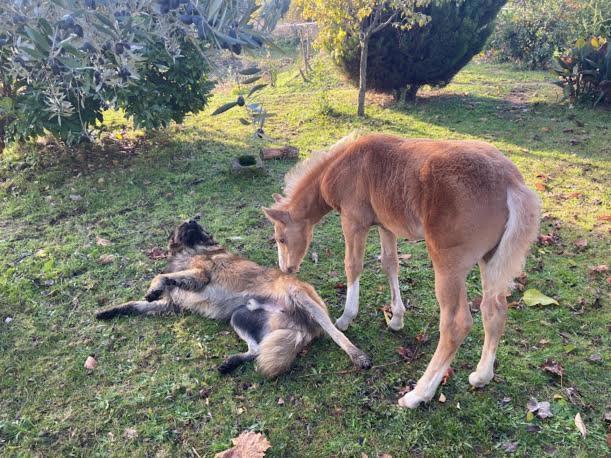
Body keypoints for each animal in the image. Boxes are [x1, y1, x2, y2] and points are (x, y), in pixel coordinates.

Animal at [98, 220, 370, 378]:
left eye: (196, 224)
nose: (193, 218)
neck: (190, 249)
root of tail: (300, 330)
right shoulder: (171, 305)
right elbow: (135, 304)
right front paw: (110, 311)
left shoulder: (200, 275)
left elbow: (162, 276)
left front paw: (154, 286)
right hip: (239, 316)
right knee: (256, 350)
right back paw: (231, 363)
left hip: (301, 297)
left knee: (337, 334)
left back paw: (358, 355)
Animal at [262, 132, 540, 408]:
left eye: (281, 239)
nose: (286, 268)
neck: (341, 165)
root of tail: (510, 181)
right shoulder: (385, 224)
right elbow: (390, 263)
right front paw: (396, 318)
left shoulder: (354, 221)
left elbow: (352, 264)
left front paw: (345, 318)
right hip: (490, 260)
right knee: (494, 310)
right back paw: (482, 376)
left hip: (448, 264)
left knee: (456, 324)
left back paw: (419, 394)